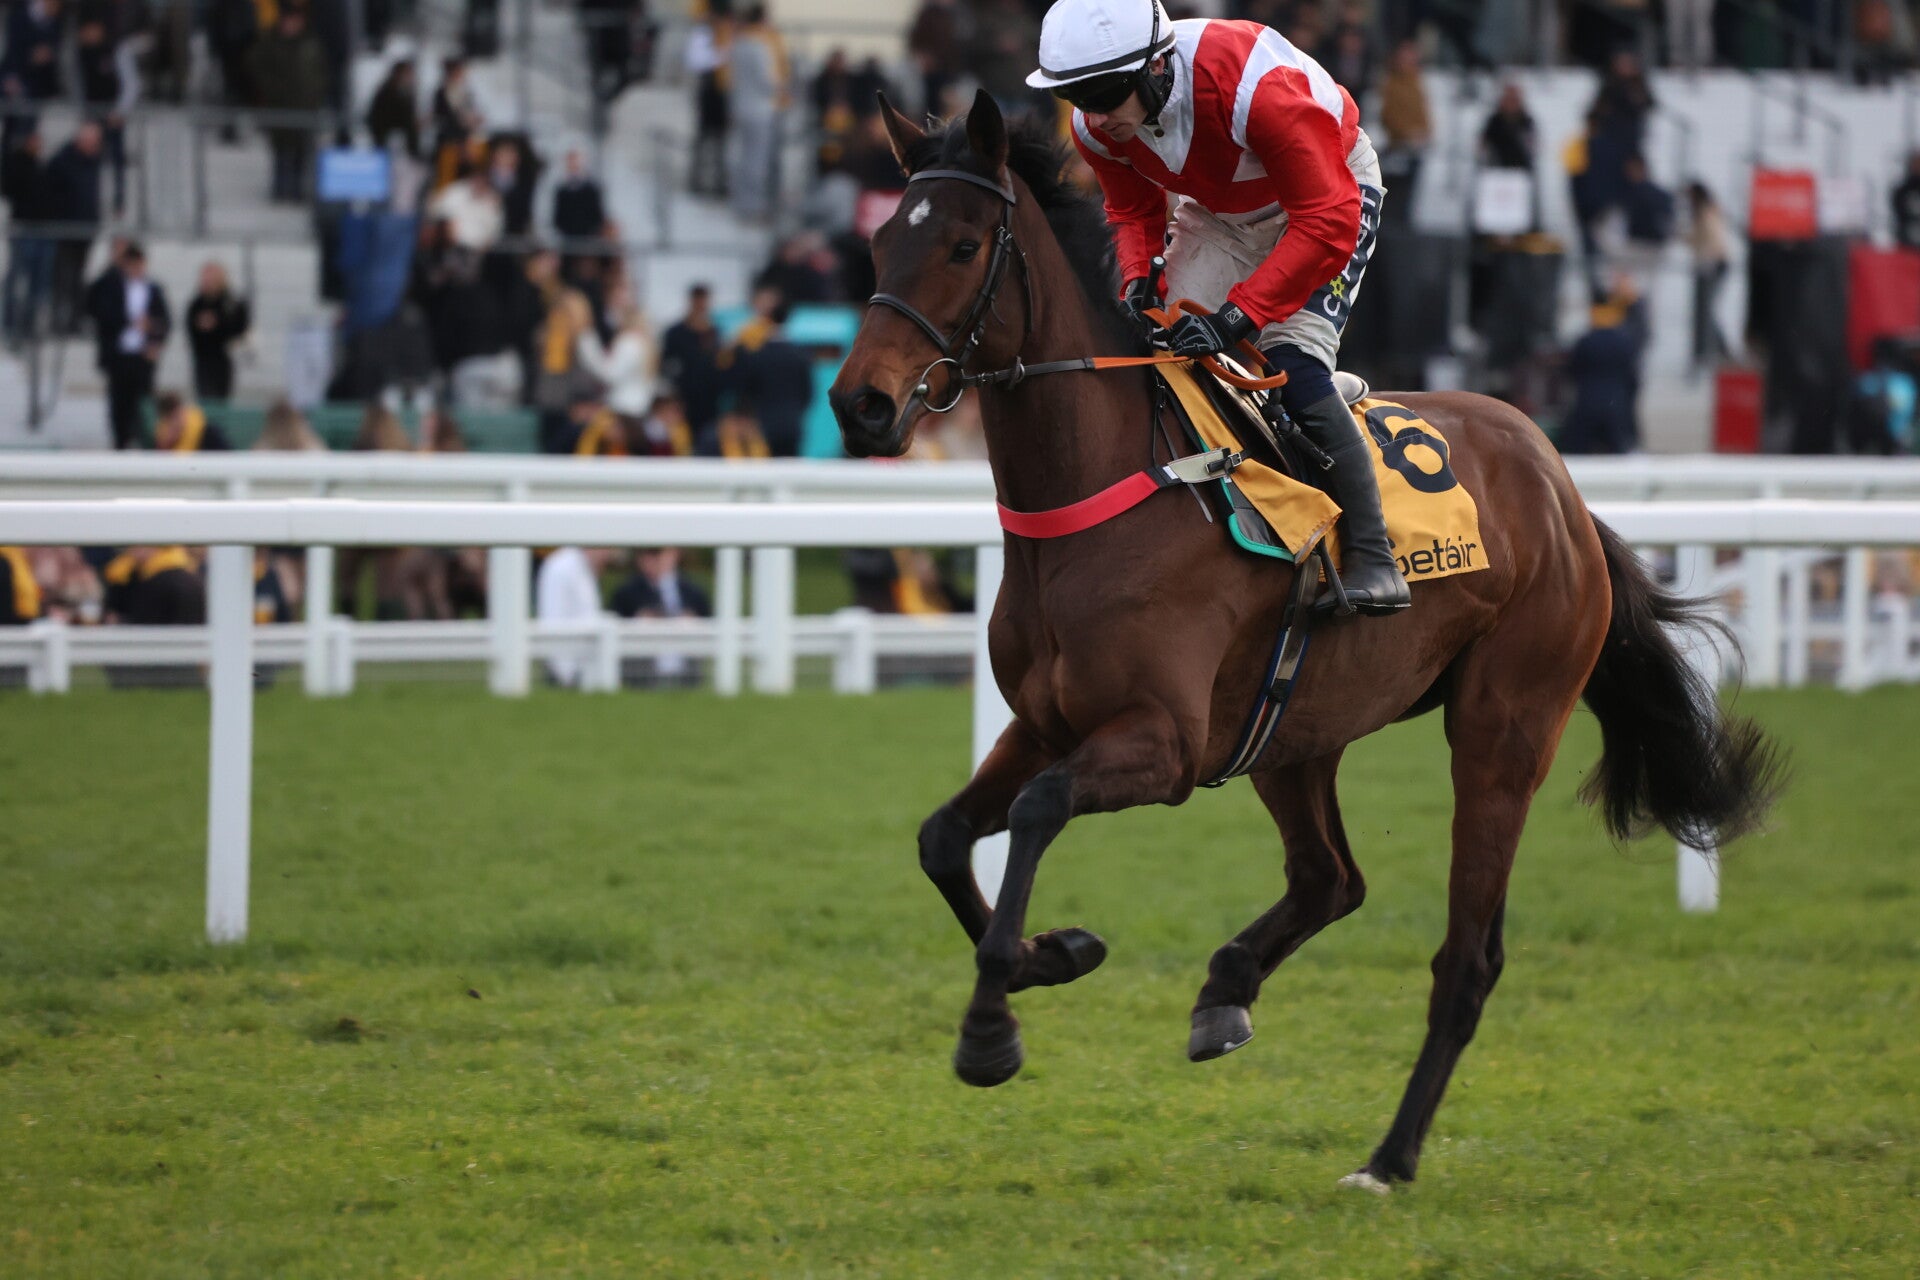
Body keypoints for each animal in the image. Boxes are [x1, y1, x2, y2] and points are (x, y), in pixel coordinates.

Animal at [827, 91, 1782, 1189]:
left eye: (962, 243)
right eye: (877, 243)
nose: (858, 403)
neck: (1103, 496)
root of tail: (1564, 490)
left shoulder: (1162, 743)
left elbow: (1035, 809)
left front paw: (992, 1029)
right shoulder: (1044, 722)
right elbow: (945, 836)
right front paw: (1055, 953)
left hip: (1503, 726)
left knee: (1466, 958)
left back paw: (1389, 1157)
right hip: (1292, 729)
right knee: (1332, 876)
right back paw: (1226, 988)